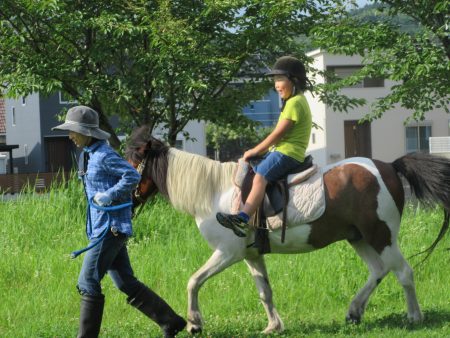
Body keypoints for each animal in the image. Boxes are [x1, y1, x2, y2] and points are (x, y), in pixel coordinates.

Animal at [124, 125, 450, 334]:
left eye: (135, 159)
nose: (125, 197)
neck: (215, 192)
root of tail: (390, 167)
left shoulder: (227, 253)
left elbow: (193, 281)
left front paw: (194, 323)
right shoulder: (251, 255)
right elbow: (264, 291)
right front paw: (273, 326)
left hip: (381, 236)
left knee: (403, 272)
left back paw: (414, 317)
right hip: (359, 237)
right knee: (379, 270)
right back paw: (355, 310)